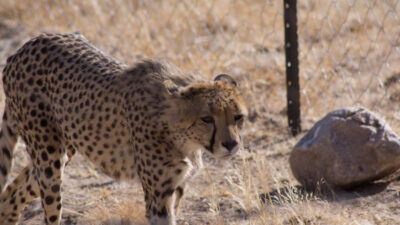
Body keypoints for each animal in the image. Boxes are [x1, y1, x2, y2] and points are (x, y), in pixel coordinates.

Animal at [0, 32, 247, 224]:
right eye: (206, 119)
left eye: (238, 117)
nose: (231, 144)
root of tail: (25, 46)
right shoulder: (158, 196)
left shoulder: (177, 187)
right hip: (49, 157)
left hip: (62, 150)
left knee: (11, 195)